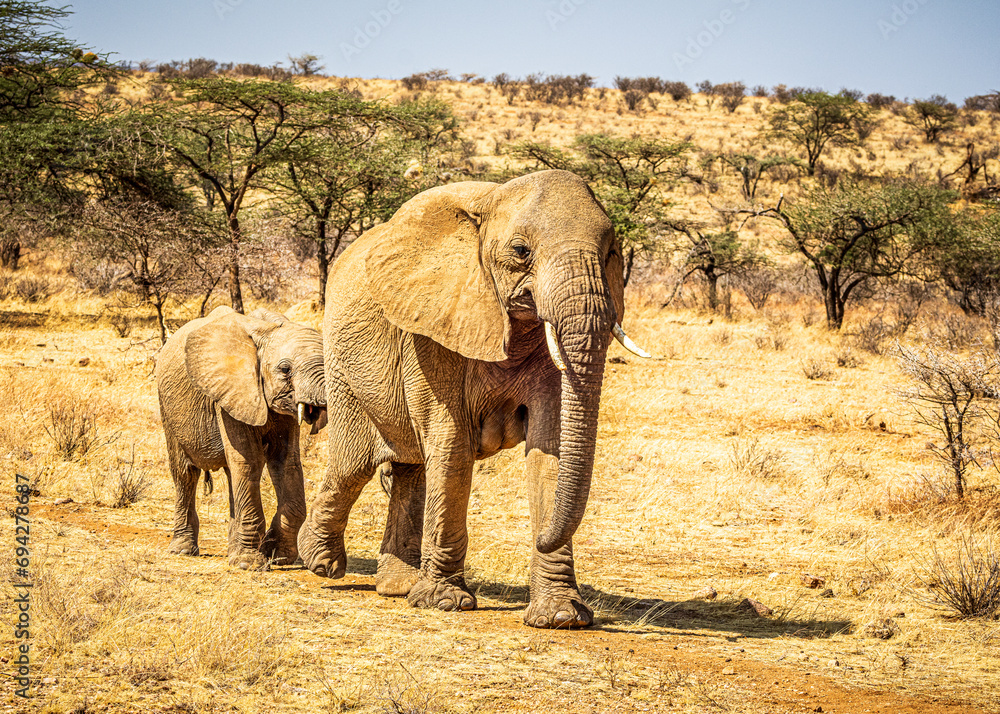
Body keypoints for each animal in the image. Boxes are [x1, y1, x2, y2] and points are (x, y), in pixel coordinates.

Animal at [155, 305, 327, 570]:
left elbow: (287, 463)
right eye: (285, 369)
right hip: (167, 406)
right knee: (186, 473)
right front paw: (250, 563)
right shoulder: (230, 392)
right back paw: (183, 551)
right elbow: (249, 462)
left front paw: (275, 555)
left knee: (230, 474)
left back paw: (232, 551)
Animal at [297, 169, 649, 628]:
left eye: (611, 252)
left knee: (410, 468)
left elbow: (550, 447)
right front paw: (444, 603)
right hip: (343, 364)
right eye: (520, 251)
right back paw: (319, 562)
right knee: (353, 465)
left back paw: (398, 586)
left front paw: (561, 616)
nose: (541, 537)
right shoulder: (429, 328)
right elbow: (452, 445)